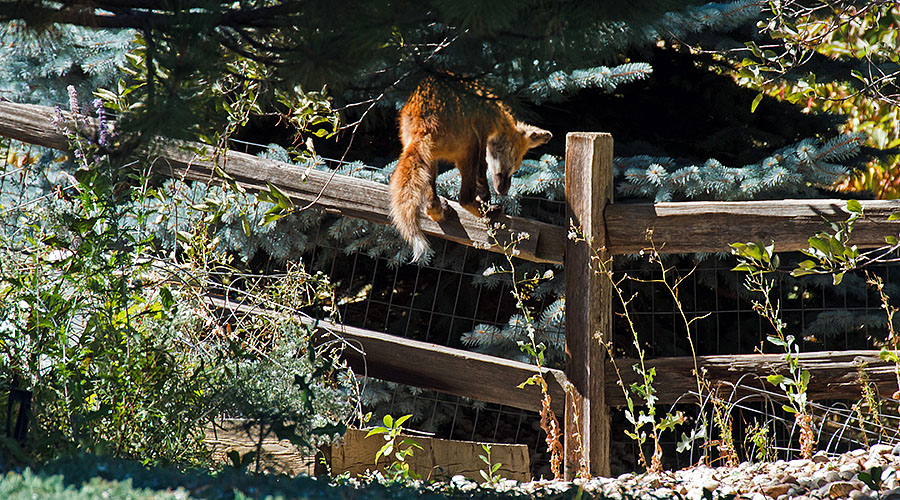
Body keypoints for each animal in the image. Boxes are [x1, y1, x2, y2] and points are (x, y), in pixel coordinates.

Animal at [390, 77, 552, 262]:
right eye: (513, 166)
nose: (504, 191)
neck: (497, 114)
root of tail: (423, 125)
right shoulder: (482, 138)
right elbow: (482, 176)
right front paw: (486, 200)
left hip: (429, 158)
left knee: (430, 203)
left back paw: (439, 210)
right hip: (469, 145)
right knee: (464, 199)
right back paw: (489, 213)